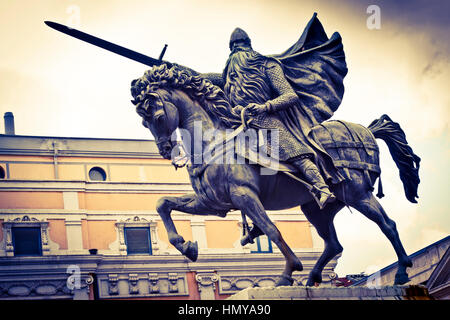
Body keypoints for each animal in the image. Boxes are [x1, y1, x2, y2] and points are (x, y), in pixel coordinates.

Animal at [132, 63, 420, 286]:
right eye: (144, 121)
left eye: (157, 116)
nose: (165, 150)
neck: (212, 142)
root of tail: (367, 131)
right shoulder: (212, 203)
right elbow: (163, 203)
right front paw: (187, 246)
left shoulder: (244, 195)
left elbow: (272, 230)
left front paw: (290, 270)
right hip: (316, 208)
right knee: (333, 245)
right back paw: (313, 277)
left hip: (357, 193)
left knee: (388, 225)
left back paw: (402, 271)